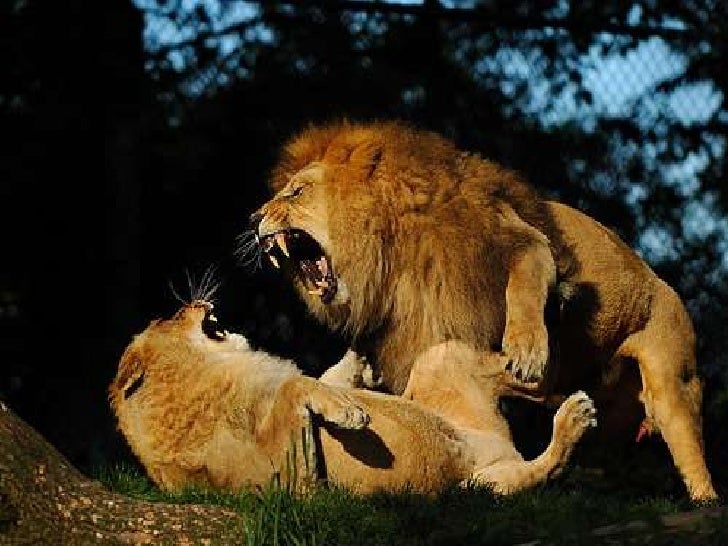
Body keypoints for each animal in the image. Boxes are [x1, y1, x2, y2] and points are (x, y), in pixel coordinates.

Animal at [109, 300, 597, 495]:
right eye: (170, 316)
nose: (197, 303)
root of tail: (500, 448)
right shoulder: (286, 490)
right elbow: (294, 388)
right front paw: (349, 413)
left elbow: (318, 377)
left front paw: (358, 364)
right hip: (478, 488)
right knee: (542, 469)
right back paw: (574, 416)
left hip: (439, 361)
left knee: (525, 379)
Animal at [248, 120, 717, 501]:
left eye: (295, 192)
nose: (254, 219)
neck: (398, 255)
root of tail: (660, 280)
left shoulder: (522, 241)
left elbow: (523, 290)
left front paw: (527, 350)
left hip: (673, 383)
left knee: (692, 456)